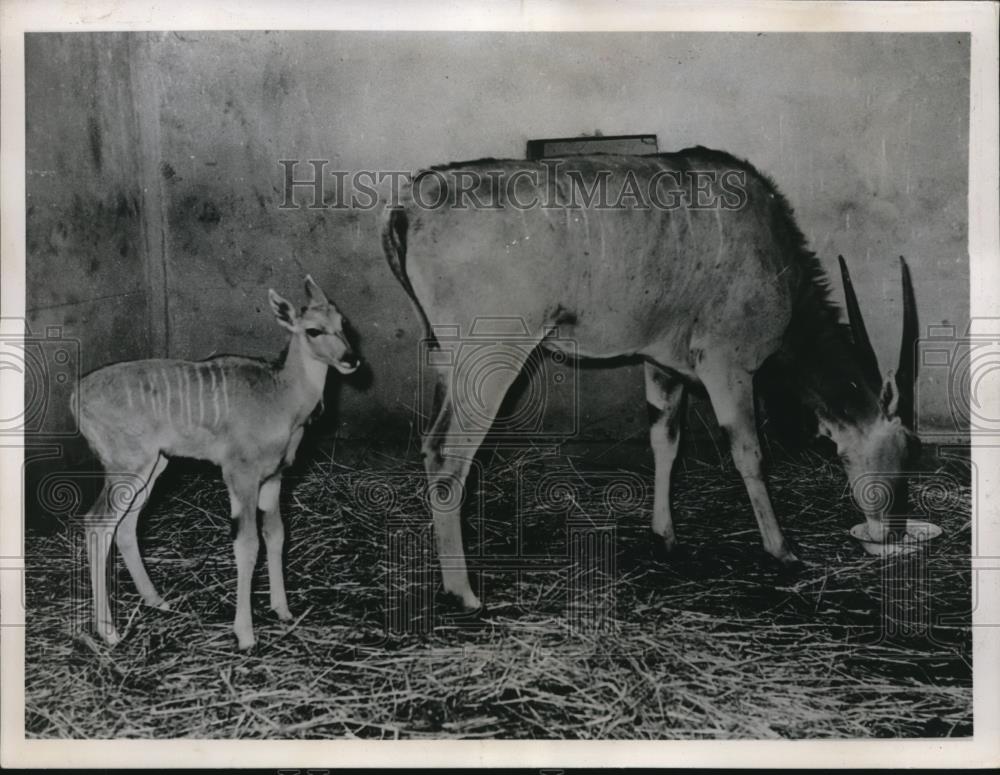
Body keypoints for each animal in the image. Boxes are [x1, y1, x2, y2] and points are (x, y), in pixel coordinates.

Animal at [71, 278, 360, 648]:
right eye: (313, 330)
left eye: (344, 324)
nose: (351, 359)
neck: (281, 398)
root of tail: (75, 397)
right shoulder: (239, 473)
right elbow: (247, 543)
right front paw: (245, 634)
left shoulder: (275, 476)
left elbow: (277, 535)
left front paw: (283, 610)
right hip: (126, 462)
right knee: (97, 523)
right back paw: (108, 631)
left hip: (152, 465)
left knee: (126, 525)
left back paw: (157, 600)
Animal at [384, 147, 920, 612]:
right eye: (907, 449)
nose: (893, 529)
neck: (772, 252)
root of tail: (410, 206)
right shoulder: (726, 364)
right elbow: (749, 453)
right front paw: (782, 549)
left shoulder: (662, 364)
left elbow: (665, 440)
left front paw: (665, 535)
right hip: (491, 356)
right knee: (446, 453)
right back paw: (464, 593)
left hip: (448, 358)